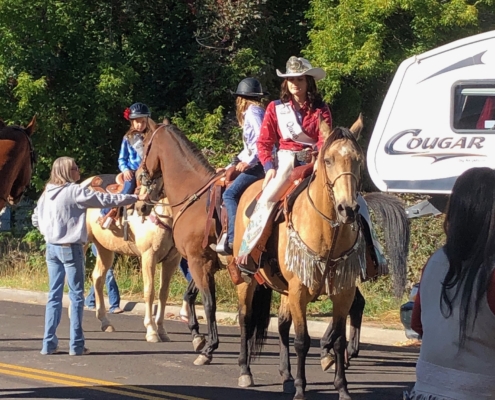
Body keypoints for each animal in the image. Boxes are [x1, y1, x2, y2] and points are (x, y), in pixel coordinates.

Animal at [234, 114, 408, 398]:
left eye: (358, 160)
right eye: (328, 160)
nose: (348, 208)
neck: (328, 230)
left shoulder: (342, 290)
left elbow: (338, 339)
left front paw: (342, 387)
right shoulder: (299, 289)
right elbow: (302, 341)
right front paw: (301, 389)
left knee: (282, 324)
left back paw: (286, 375)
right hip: (246, 280)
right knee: (246, 319)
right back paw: (245, 371)